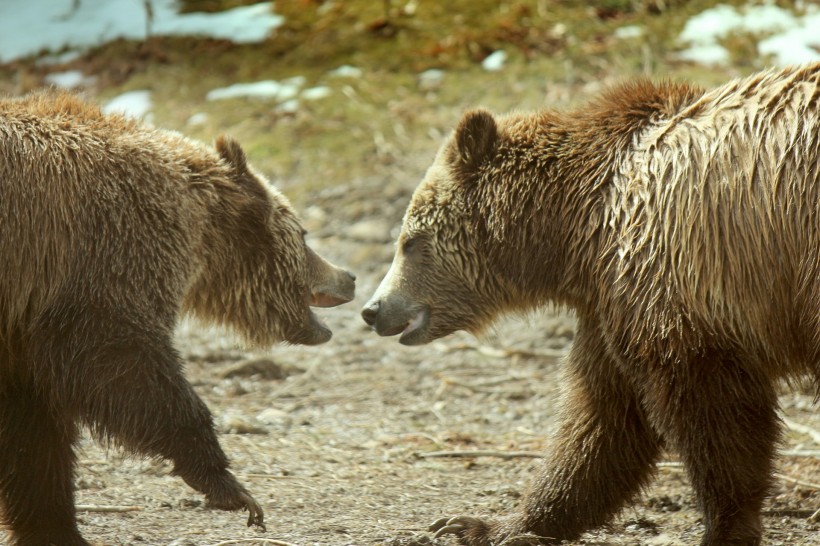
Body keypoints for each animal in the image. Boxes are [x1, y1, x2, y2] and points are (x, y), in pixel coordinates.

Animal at [0, 90, 356, 544]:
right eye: (304, 233)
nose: (348, 277)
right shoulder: (103, 258)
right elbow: (123, 363)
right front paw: (231, 488)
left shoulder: (22, 326)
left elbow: (32, 431)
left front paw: (55, 528)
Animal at [362, 61, 820, 540]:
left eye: (410, 241)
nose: (373, 310)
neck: (576, 227)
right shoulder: (609, 301)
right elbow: (603, 418)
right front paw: (486, 523)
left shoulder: (674, 276)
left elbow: (712, 411)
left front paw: (724, 526)